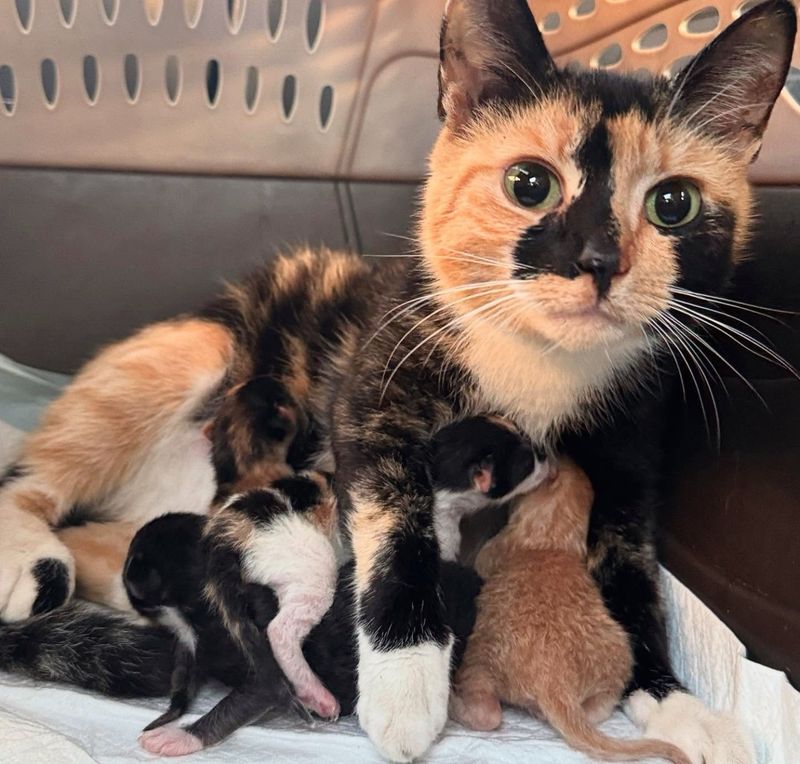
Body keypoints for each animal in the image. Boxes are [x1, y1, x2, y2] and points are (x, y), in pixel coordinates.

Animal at [454, 460, 692, 764]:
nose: (556, 457)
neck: (553, 540)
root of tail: (555, 683)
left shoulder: (494, 551)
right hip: (617, 661)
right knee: (597, 710)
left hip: (477, 663)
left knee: (486, 714)